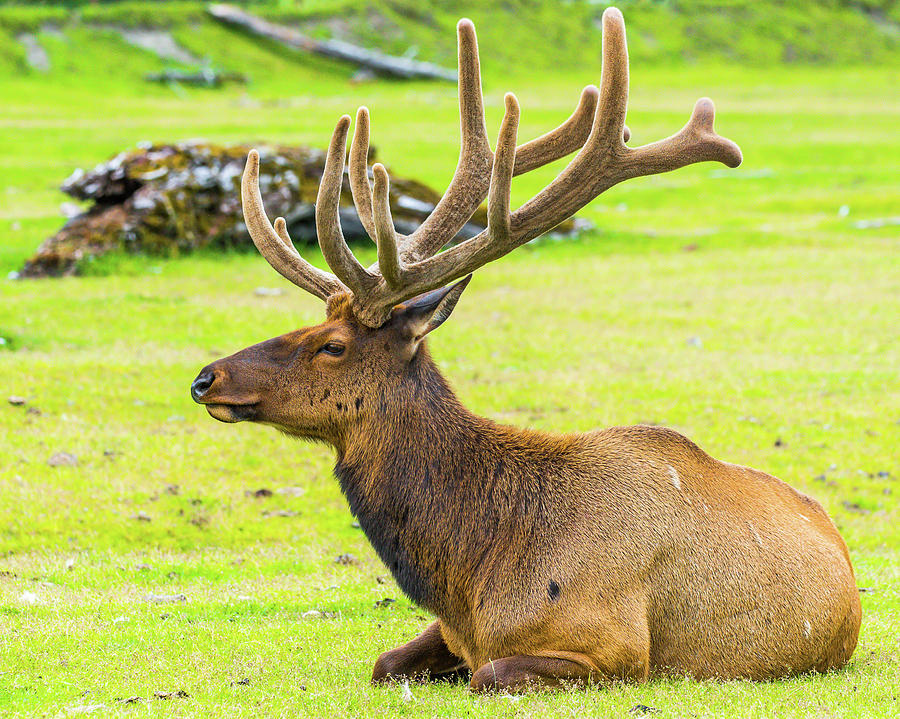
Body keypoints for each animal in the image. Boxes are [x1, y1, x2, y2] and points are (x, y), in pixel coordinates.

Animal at [190, 5, 856, 692]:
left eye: (332, 345)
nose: (206, 378)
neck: (475, 570)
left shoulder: (616, 650)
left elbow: (486, 675)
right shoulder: (451, 631)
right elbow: (385, 662)